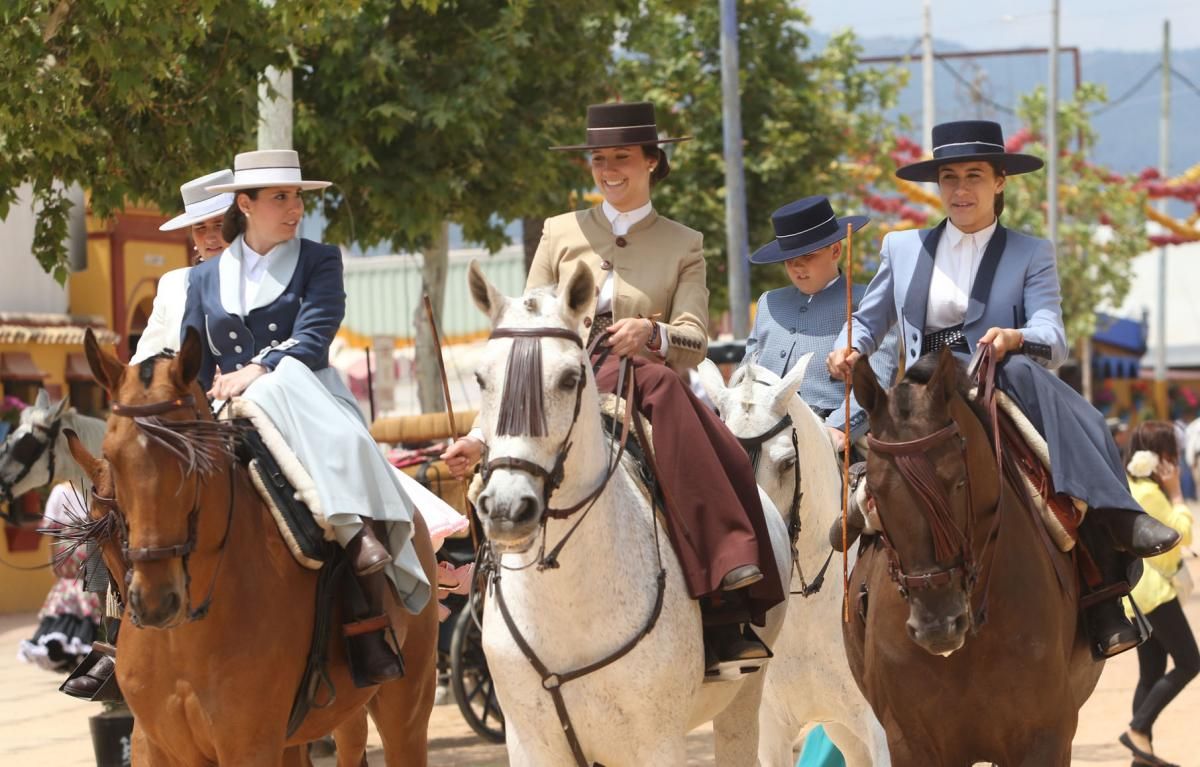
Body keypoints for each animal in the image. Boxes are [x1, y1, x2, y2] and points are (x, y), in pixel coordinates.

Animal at [65, 331, 441, 767]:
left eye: (192, 455)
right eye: (112, 454)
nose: (155, 601)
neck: (185, 637)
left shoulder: (250, 744)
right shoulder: (155, 743)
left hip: (405, 705)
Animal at [470, 261, 796, 763]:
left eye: (569, 378)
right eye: (481, 378)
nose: (508, 507)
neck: (568, 602)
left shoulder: (657, 743)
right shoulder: (531, 744)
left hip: (744, 698)